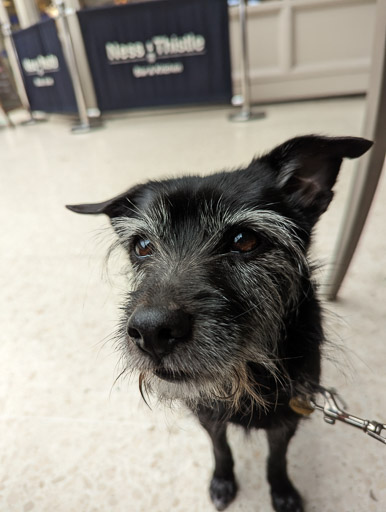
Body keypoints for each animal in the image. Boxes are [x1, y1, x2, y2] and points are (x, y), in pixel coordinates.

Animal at [68, 134, 370, 510]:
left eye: (245, 240)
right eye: (142, 245)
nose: (151, 331)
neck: (248, 376)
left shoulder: (287, 420)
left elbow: (277, 459)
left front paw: (282, 491)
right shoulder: (208, 416)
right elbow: (221, 448)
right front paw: (223, 480)